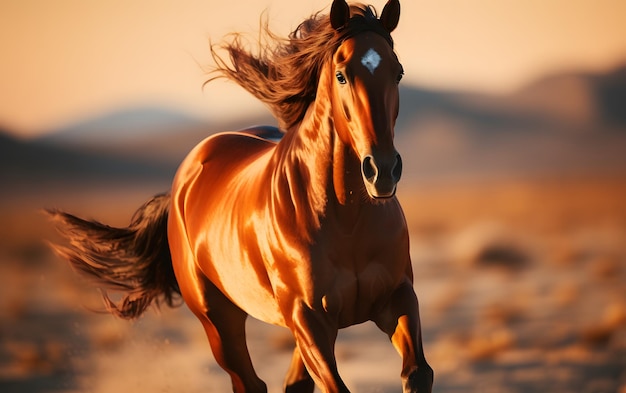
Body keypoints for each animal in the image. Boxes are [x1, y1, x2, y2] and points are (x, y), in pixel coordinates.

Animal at [48, 1, 432, 390]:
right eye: (341, 75)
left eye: (398, 73)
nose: (382, 170)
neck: (346, 217)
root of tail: (185, 178)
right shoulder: (308, 319)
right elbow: (337, 386)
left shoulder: (396, 299)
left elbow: (419, 373)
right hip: (219, 319)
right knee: (250, 382)